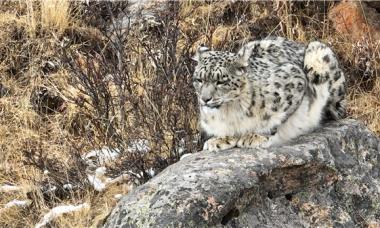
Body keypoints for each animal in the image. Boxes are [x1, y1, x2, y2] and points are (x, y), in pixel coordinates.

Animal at [194, 36, 346, 151]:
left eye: (220, 81)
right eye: (199, 79)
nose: (205, 99)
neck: (229, 111)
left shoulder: (295, 81)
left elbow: (274, 119)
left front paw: (255, 136)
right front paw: (219, 140)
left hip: (318, 55)